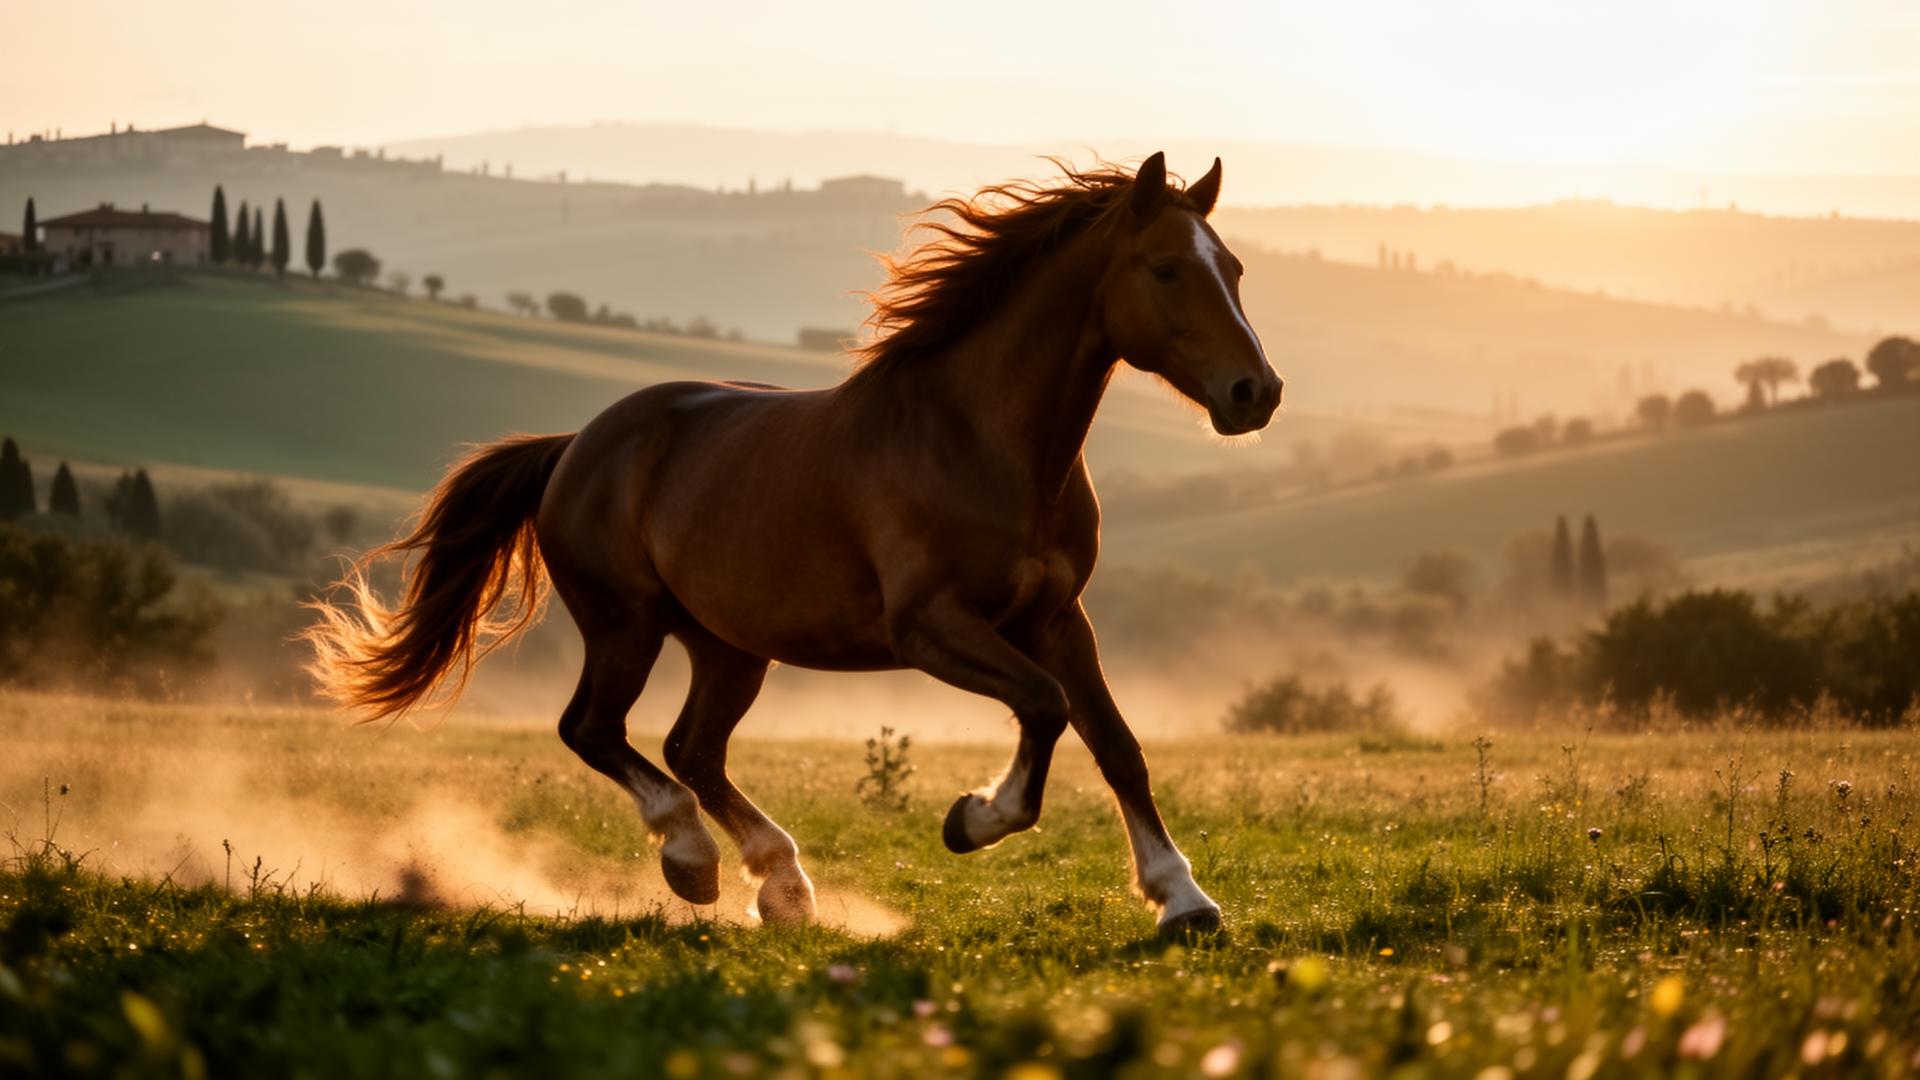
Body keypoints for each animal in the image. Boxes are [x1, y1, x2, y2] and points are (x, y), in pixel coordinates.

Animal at [306, 152, 1283, 935]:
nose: (1256, 393)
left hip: (729, 647)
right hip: (625, 623)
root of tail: (577, 445)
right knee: (594, 729)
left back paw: (781, 886)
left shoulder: (1056, 618)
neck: (980, 440)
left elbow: (1116, 743)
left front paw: (1184, 902)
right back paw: (693, 861)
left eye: (1234, 267)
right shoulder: (930, 626)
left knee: (690, 749)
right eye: (1166, 268)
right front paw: (971, 820)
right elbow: (1044, 707)